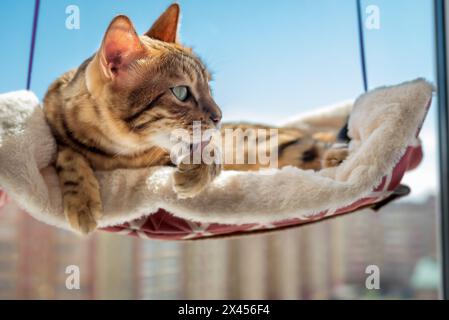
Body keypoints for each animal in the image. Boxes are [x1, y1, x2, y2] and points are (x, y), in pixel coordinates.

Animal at [43, 3, 346, 235]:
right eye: (181, 92)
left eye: (209, 86)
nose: (219, 116)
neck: (119, 153)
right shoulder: (54, 129)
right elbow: (68, 154)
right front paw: (82, 200)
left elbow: (210, 150)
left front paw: (195, 171)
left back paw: (338, 156)